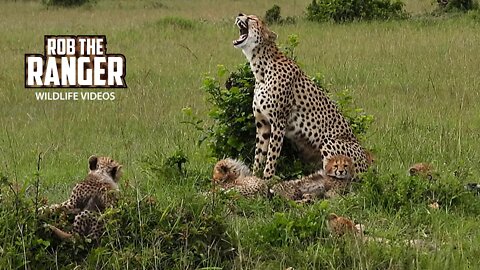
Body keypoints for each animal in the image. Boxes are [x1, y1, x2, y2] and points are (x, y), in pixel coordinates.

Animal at [232, 14, 368, 179]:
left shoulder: (279, 122)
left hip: (329, 143)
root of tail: (369, 166)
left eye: (252, 18)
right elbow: (259, 155)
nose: (239, 14)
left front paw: (267, 179)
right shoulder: (262, 123)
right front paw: (254, 177)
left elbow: (272, 156)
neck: (261, 69)